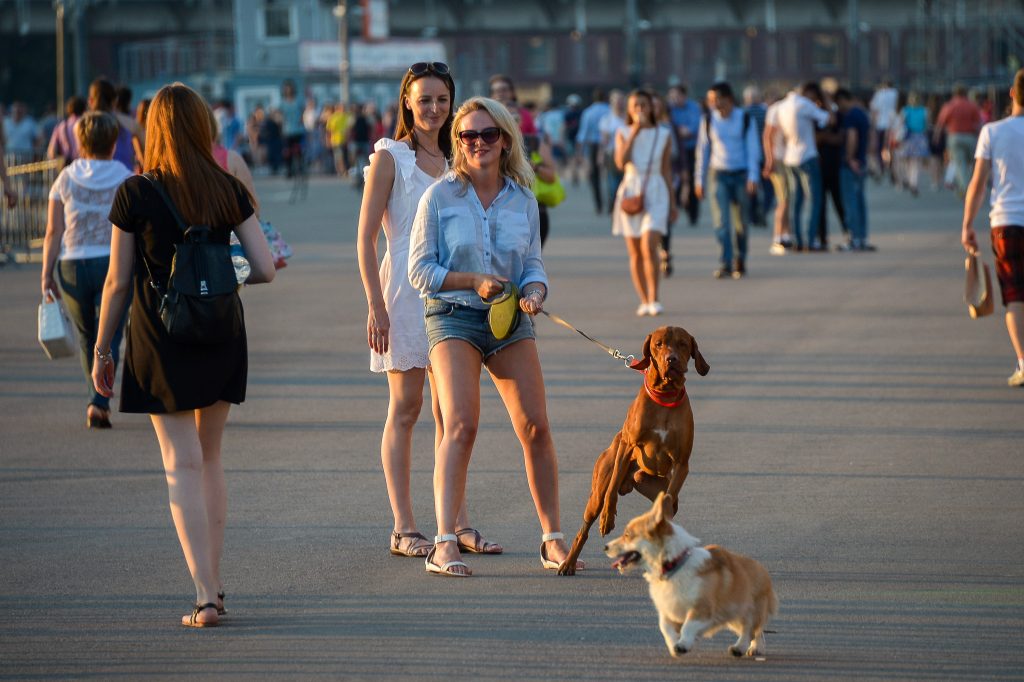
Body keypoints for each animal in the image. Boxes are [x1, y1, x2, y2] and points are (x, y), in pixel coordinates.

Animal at [557, 323, 708, 573]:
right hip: (598, 490)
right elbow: (612, 488)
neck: (665, 396)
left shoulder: (681, 464)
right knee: (585, 527)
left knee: (666, 503)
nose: (671, 359)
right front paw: (608, 517)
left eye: (682, 344)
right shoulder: (627, 447)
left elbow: (668, 501)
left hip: (646, 480)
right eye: (659, 344)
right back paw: (569, 562)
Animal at [598, 491, 774, 655]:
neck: (674, 566)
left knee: (751, 630)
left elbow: (688, 627)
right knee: (751, 631)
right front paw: (674, 644)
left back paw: (747, 648)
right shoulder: (667, 611)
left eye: (627, 535)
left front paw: (683, 644)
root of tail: (763, 570)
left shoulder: (702, 609)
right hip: (732, 617)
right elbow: (665, 627)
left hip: (745, 611)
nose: (605, 547)